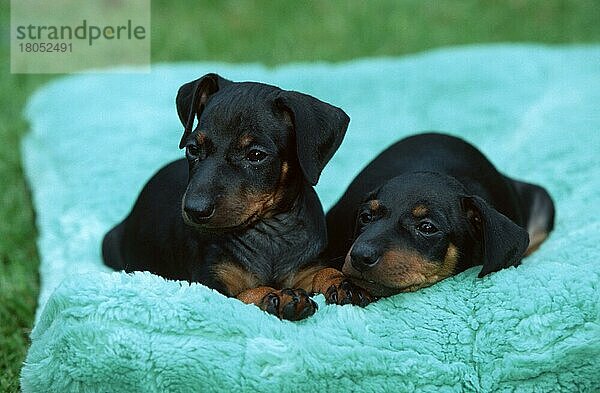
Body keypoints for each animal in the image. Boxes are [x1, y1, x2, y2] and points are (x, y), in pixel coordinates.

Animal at [102, 73, 370, 318]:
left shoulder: (307, 267)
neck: (268, 231)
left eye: (256, 155)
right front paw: (278, 296)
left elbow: (325, 272)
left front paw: (345, 283)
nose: (194, 210)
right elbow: (244, 293)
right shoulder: (210, 283)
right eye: (193, 149)